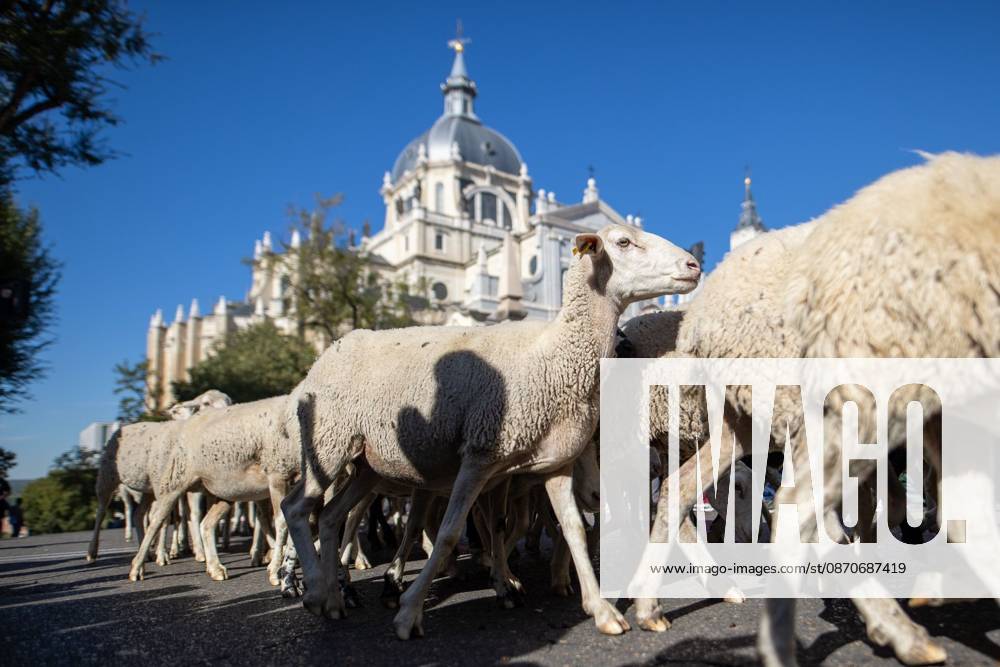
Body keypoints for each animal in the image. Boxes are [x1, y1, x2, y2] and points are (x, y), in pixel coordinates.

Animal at [280, 223, 701, 639]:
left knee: (330, 516)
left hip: (366, 463)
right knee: (297, 508)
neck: (552, 353)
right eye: (623, 242)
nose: (694, 264)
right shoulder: (479, 457)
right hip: (328, 444)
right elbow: (450, 532)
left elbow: (574, 530)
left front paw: (602, 611)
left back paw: (333, 600)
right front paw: (409, 611)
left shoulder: (554, 463)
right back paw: (314, 591)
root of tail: (332, 348)